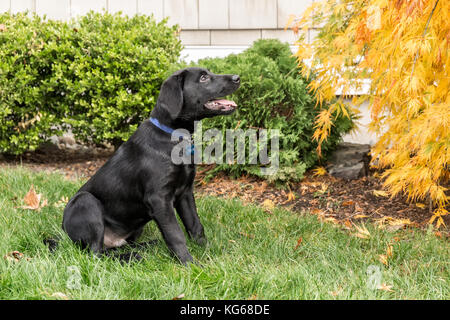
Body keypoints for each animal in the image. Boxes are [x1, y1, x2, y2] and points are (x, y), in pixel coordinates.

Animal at [62, 66, 241, 264]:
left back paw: (147, 247)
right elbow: (175, 234)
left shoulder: (185, 193)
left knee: (117, 247)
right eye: (203, 78)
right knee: (96, 254)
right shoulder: (159, 198)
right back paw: (132, 257)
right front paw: (189, 264)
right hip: (85, 201)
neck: (174, 137)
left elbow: (195, 225)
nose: (237, 77)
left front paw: (209, 252)